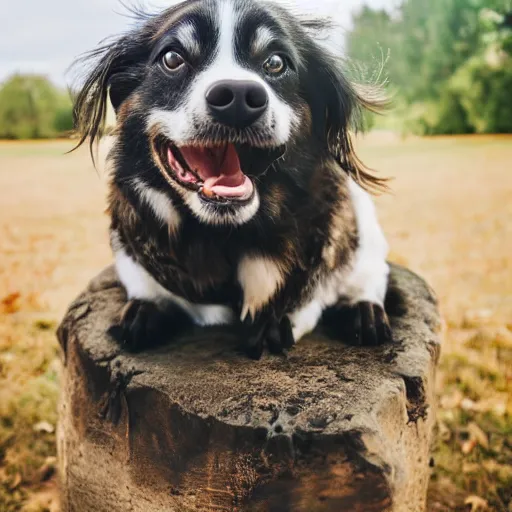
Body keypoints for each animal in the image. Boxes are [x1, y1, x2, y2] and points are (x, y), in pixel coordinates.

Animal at [73, 0, 392, 360]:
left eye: (276, 62)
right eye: (172, 58)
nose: (239, 96)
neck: (225, 234)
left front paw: (277, 319)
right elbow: (146, 283)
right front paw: (147, 308)